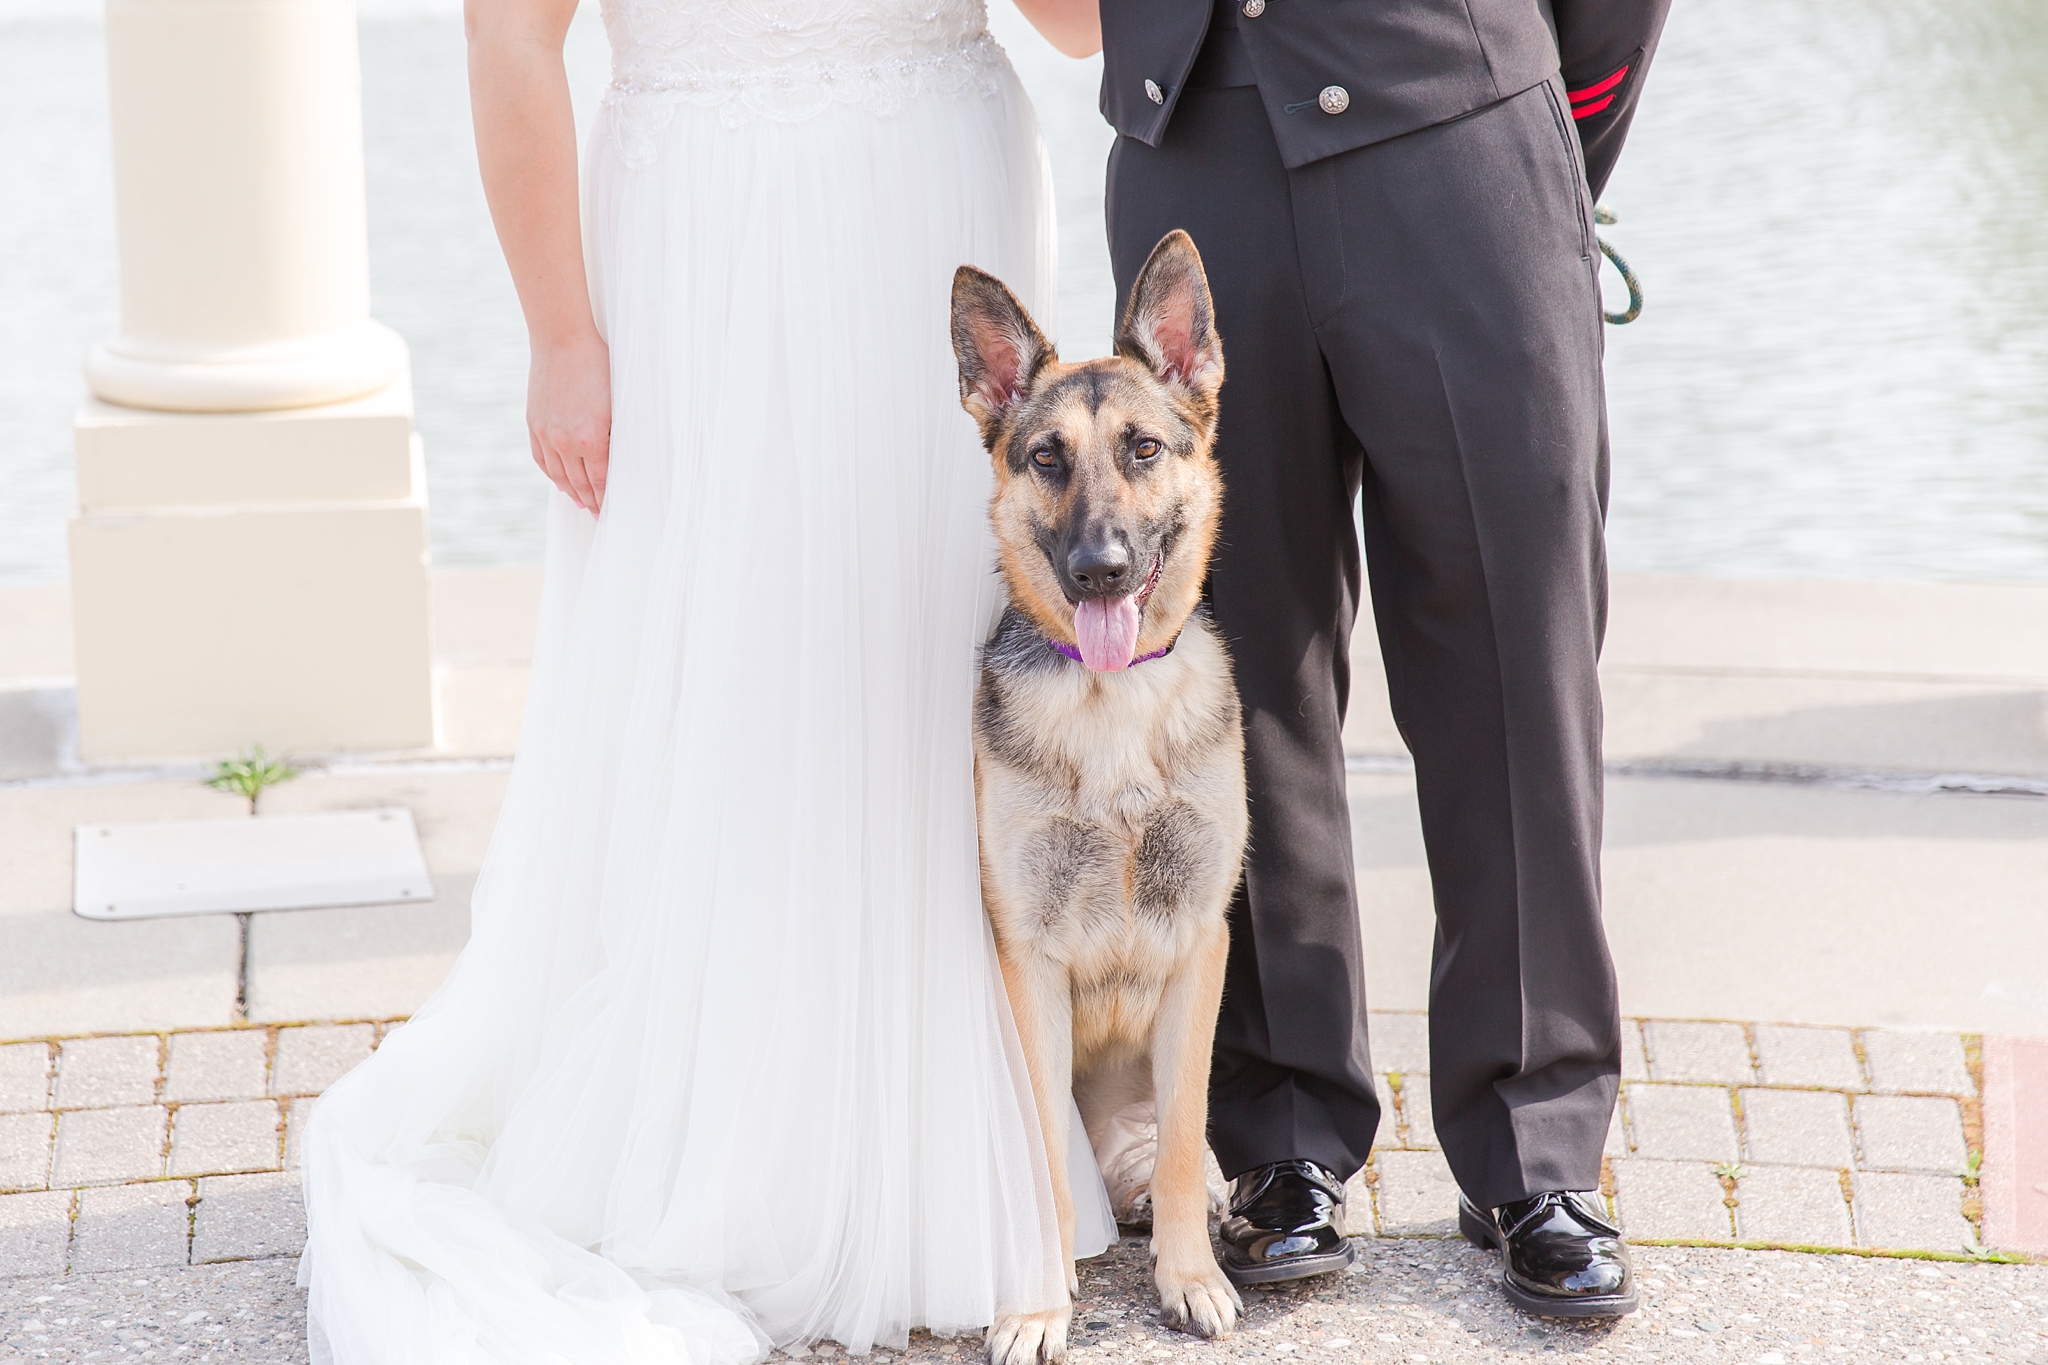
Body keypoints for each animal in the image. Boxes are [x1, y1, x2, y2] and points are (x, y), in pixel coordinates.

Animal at [946, 235, 1245, 1365]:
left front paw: (1188, 1277)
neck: (1111, 702)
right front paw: (1038, 1299)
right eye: (1046, 458)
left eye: (1144, 449)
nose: (1099, 569)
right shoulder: (1025, 956)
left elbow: (1185, 1131)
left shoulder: (1199, 941)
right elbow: (1035, 1147)